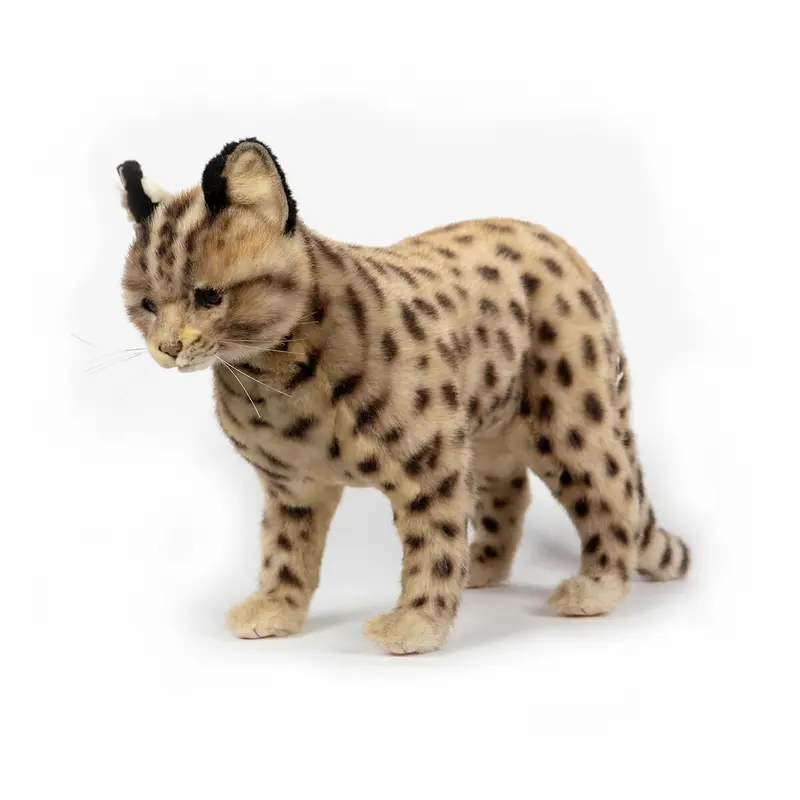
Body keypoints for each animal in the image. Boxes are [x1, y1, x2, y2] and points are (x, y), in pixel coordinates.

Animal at [117, 137, 690, 655]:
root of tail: (564, 249)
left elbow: (433, 545)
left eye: (208, 296)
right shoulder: (292, 484)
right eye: (147, 304)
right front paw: (276, 608)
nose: (168, 348)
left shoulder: (430, 466)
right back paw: (484, 565)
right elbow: (284, 548)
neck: (269, 378)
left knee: (612, 492)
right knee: (511, 489)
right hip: (488, 424)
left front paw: (416, 625)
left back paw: (595, 588)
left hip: (571, 420)